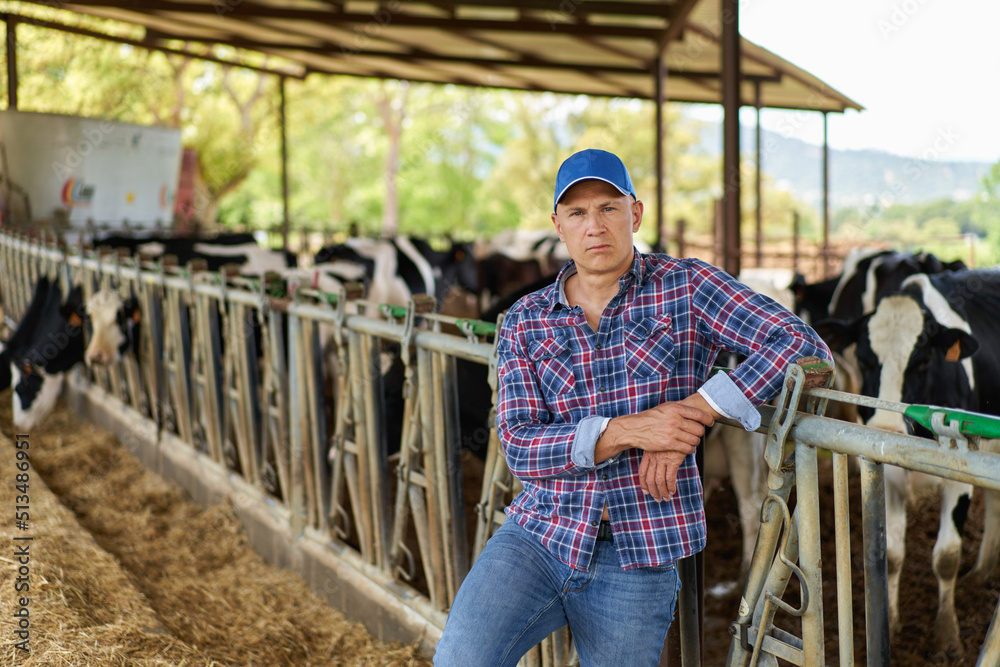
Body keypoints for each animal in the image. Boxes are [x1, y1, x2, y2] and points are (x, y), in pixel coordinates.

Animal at [816, 270, 1000, 656]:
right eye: (865, 360)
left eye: (923, 362)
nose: (885, 428)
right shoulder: (885, 474)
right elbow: (891, 553)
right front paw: (890, 621)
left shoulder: (960, 474)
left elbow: (946, 555)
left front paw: (947, 634)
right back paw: (982, 571)